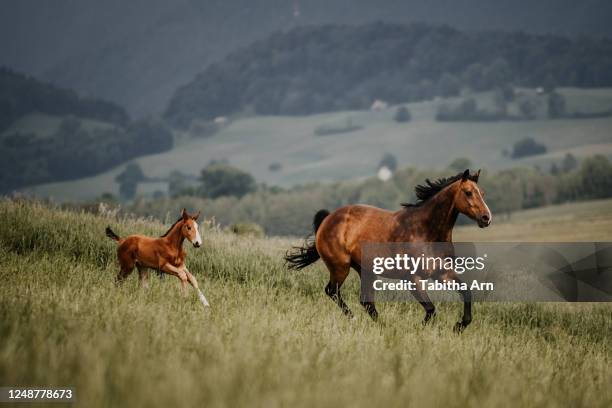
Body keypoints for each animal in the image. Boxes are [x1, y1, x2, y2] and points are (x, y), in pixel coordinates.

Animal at [284, 169, 490, 332]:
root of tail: (327, 219)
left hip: (365, 270)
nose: (486, 218)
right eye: (468, 192)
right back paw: (356, 319)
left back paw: (384, 326)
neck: (425, 230)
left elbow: (467, 292)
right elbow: (431, 310)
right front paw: (419, 330)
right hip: (340, 267)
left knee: (366, 302)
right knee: (332, 291)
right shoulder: (412, 279)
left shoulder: (442, 274)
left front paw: (459, 326)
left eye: (482, 192)